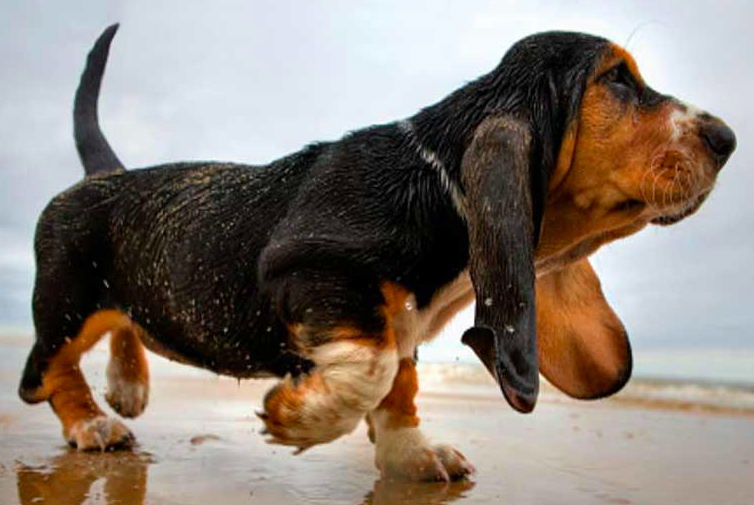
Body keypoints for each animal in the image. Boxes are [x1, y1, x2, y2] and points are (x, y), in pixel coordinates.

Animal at [20, 24, 732, 480]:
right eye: (617, 80)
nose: (727, 138)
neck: (437, 183)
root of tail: (102, 178)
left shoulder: (405, 321)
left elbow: (401, 384)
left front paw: (412, 456)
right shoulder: (312, 274)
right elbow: (375, 367)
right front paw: (300, 418)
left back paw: (128, 385)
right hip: (65, 303)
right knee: (44, 375)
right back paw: (93, 424)